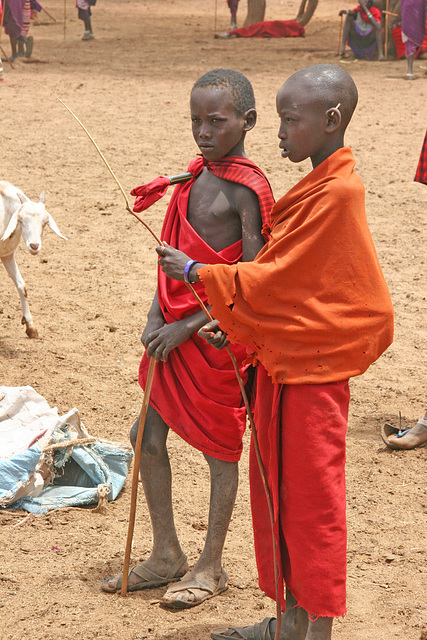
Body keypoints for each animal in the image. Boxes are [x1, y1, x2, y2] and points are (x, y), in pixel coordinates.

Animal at [0, 181, 66, 338]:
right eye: (21, 219)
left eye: (45, 222)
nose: (34, 246)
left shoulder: (7, 255)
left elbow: (22, 286)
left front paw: (30, 327)